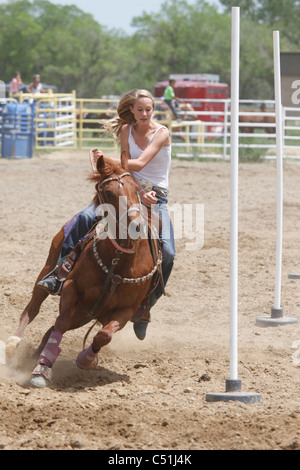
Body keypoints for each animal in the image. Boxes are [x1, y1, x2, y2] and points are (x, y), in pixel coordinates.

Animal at [5, 152, 161, 388]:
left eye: (136, 189)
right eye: (108, 192)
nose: (136, 226)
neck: (118, 261)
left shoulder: (127, 309)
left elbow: (103, 335)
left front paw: (87, 359)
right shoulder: (72, 288)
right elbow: (60, 323)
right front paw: (42, 370)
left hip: (85, 314)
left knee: (52, 328)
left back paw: (35, 356)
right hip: (50, 270)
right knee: (32, 310)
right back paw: (13, 345)